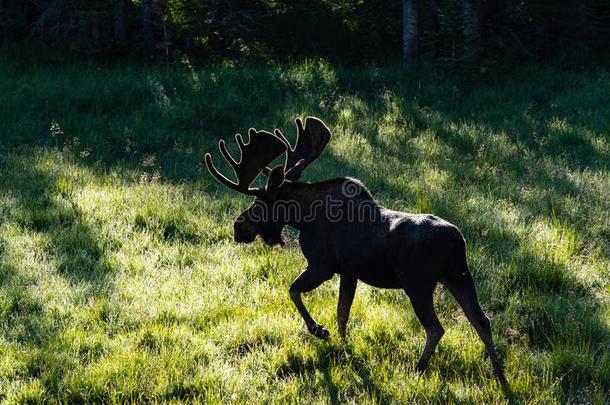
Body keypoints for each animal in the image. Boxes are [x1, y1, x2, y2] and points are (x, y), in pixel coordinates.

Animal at [204, 117, 504, 382]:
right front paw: (343, 346)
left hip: (418, 284)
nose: (238, 227)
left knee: (435, 328)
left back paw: (419, 368)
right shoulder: (349, 272)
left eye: (259, 203)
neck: (303, 217)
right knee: (482, 321)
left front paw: (320, 331)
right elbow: (342, 313)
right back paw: (499, 373)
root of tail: (457, 240)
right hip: (459, 276)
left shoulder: (323, 265)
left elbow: (293, 291)